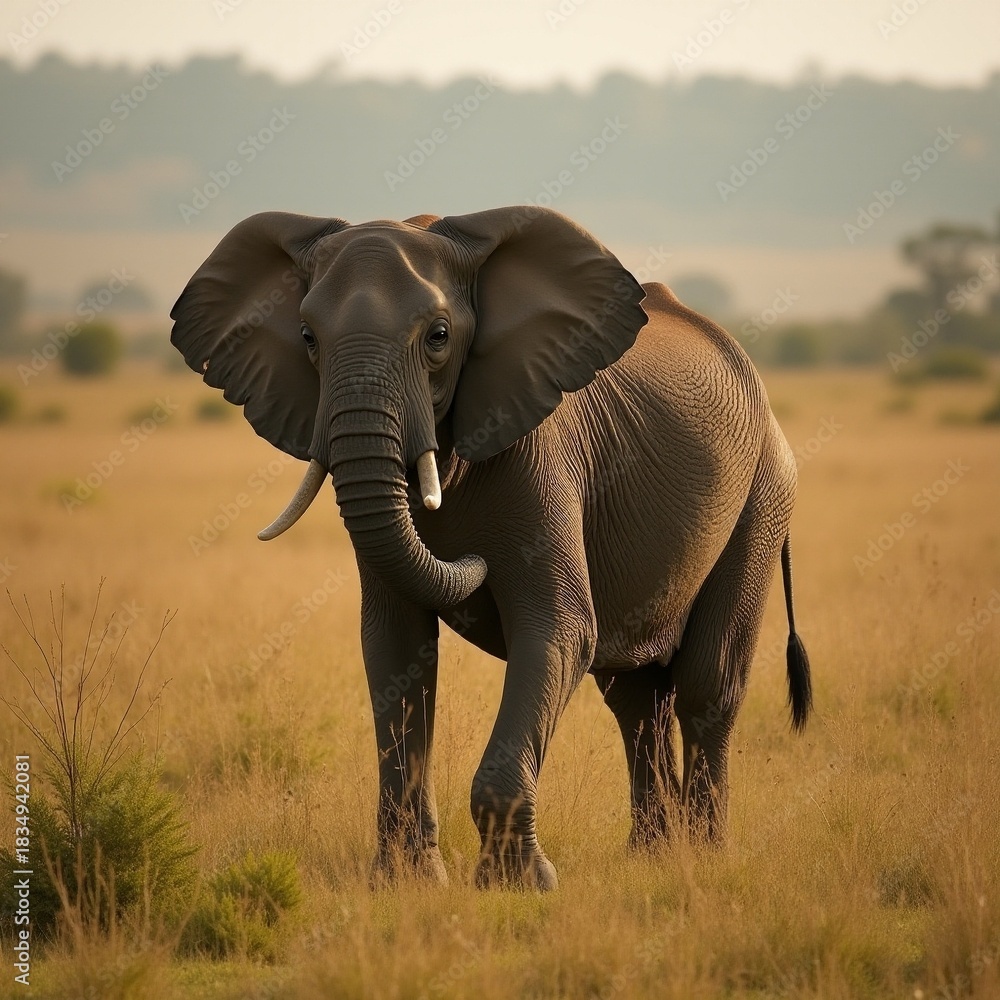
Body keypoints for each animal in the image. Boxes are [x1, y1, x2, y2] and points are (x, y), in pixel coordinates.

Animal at [171, 205, 811, 890]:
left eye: (439, 336)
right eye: (308, 338)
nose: (469, 556)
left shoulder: (542, 454)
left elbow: (558, 630)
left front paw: (519, 887)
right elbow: (393, 643)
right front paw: (406, 883)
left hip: (764, 494)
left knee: (706, 685)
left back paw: (705, 860)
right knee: (634, 698)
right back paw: (653, 860)